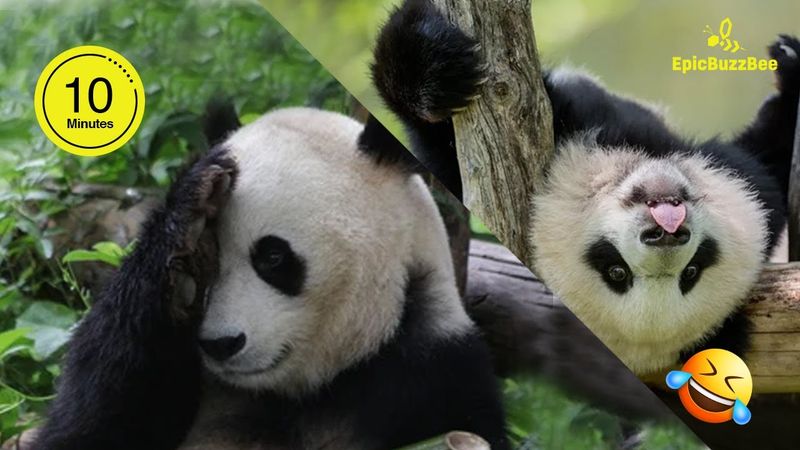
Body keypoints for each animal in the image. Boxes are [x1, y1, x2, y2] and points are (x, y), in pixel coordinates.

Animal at [33, 106, 509, 449]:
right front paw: (187, 228)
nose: (220, 344)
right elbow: (84, 428)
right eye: (213, 258)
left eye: (273, 257)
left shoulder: (439, 375)